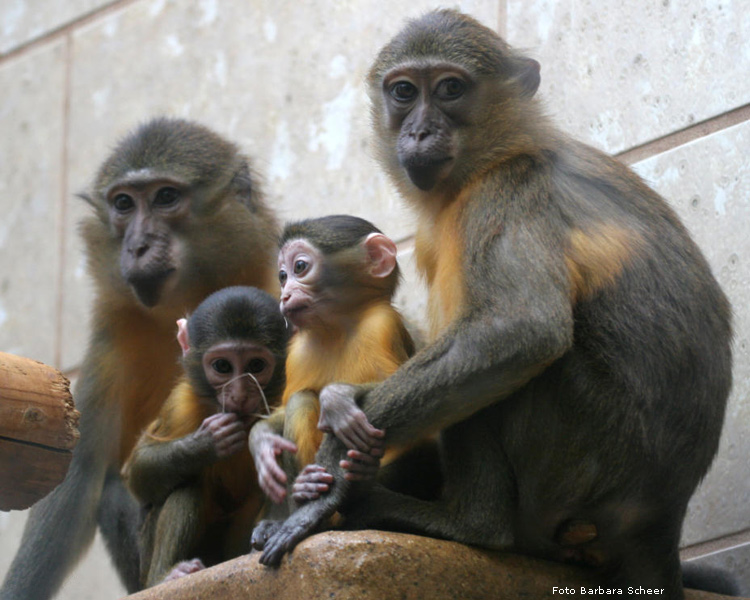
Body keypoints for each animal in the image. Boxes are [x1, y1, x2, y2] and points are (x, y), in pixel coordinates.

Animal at [123, 286, 288, 584]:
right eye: (222, 366)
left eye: (256, 365)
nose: (240, 395)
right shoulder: (180, 403)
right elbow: (138, 471)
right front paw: (206, 443)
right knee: (187, 485)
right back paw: (167, 575)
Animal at [258, 9, 736, 600]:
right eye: (403, 91)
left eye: (450, 89)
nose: (419, 130)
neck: (499, 152)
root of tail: (660, 521)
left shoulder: (508, 191)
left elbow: (521, 329)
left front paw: (329, 478)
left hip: (582, 459)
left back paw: (466, 524)